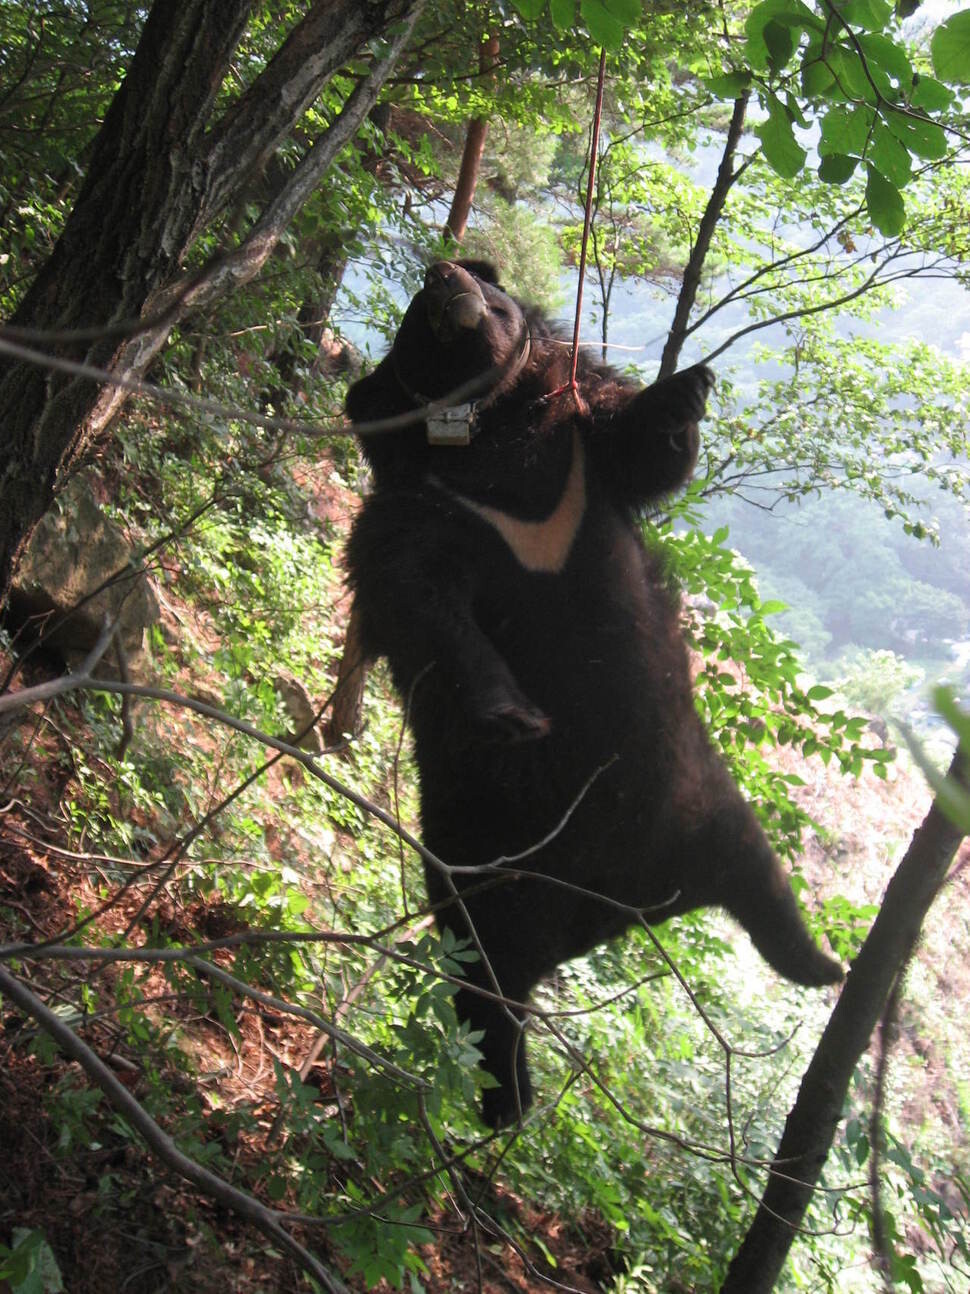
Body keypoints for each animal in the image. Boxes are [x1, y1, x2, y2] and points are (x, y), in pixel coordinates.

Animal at [346, 260, 843, 1123]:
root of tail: (617, 909)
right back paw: (506, 1098)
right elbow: (416, 594)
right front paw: (515, 716)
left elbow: (642, 448)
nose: (445, 276)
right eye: (418, 316)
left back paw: (823, 965)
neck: (491, 432)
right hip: (483, 854)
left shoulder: (579, 450)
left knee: (766, 889)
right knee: (485, 978)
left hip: (699, 801)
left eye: (487, 291)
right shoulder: (434, 509)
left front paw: (688, 388)